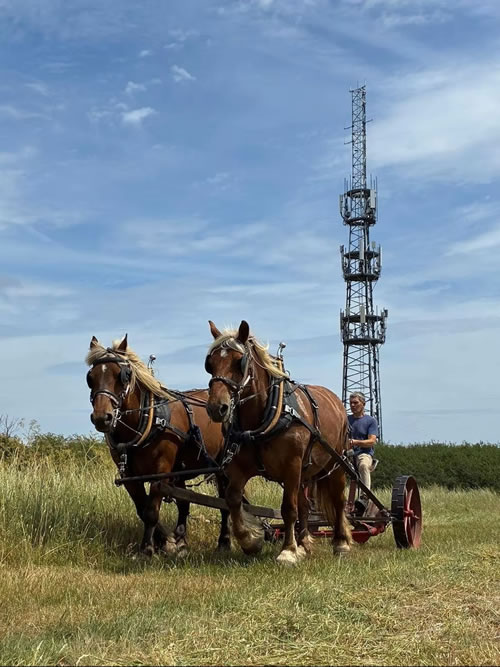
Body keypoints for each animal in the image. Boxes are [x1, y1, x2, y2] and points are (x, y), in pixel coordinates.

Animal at [86, 333, 236, 557]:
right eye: (90, 377)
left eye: (122, 376)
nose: (102, 418)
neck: (147, 421)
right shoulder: (130, 476)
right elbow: (142, 509)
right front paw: (165, 541)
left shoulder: (161, 471)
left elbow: (150, 511)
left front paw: (148, 548)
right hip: (180, 471)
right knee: (184, 503)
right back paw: (181, 540)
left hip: (221, 467)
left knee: (224, 502)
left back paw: (224, 542)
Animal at [204, 320, 352, 565]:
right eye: (210, 363)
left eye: (238, 361)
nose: (217, 407)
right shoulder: (239, 468)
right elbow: (233, 499)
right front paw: (250, 541)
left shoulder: (291, 464)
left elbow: (288, 509)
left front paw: (288, 551)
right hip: (305, 471)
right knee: (305, 505)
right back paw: (304, 543)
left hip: (335, 463)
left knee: (338, 500)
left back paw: (341, 543)